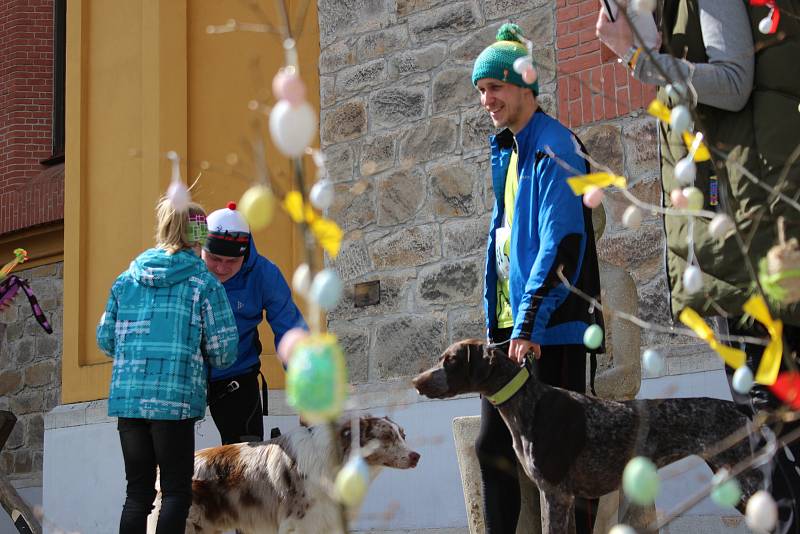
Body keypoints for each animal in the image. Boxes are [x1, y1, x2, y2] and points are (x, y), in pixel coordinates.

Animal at [147, 418, 418, 534]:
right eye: (386, 437)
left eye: (403, 435)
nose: (416, 456)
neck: (337, 461)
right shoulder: (300, 523)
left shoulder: (329, 521)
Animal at [412, 342, 764, 534]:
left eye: (450, 360)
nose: (416, 381)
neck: (527, 403)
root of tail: (741, 411)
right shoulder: (564, 497)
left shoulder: (555, 493)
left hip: (745, 478)